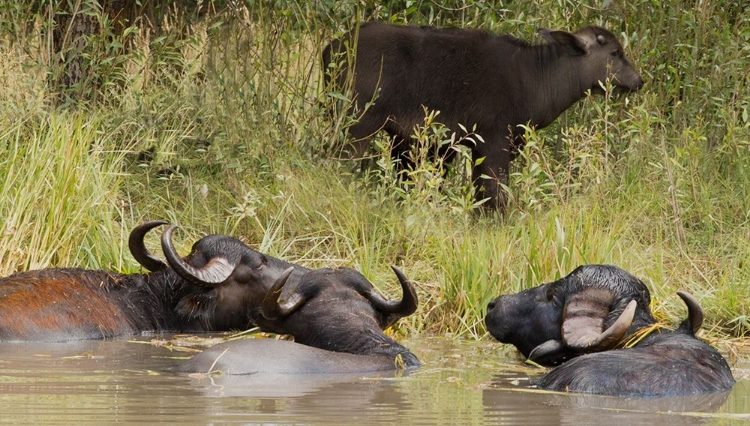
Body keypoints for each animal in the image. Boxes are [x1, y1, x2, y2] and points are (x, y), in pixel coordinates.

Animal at [324, 22, 648, 210]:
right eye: (615, 53)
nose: (638, 80)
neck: (533, 80)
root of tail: (331, 50)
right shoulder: (492, 142)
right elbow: (495, 195)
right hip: (358, 123)